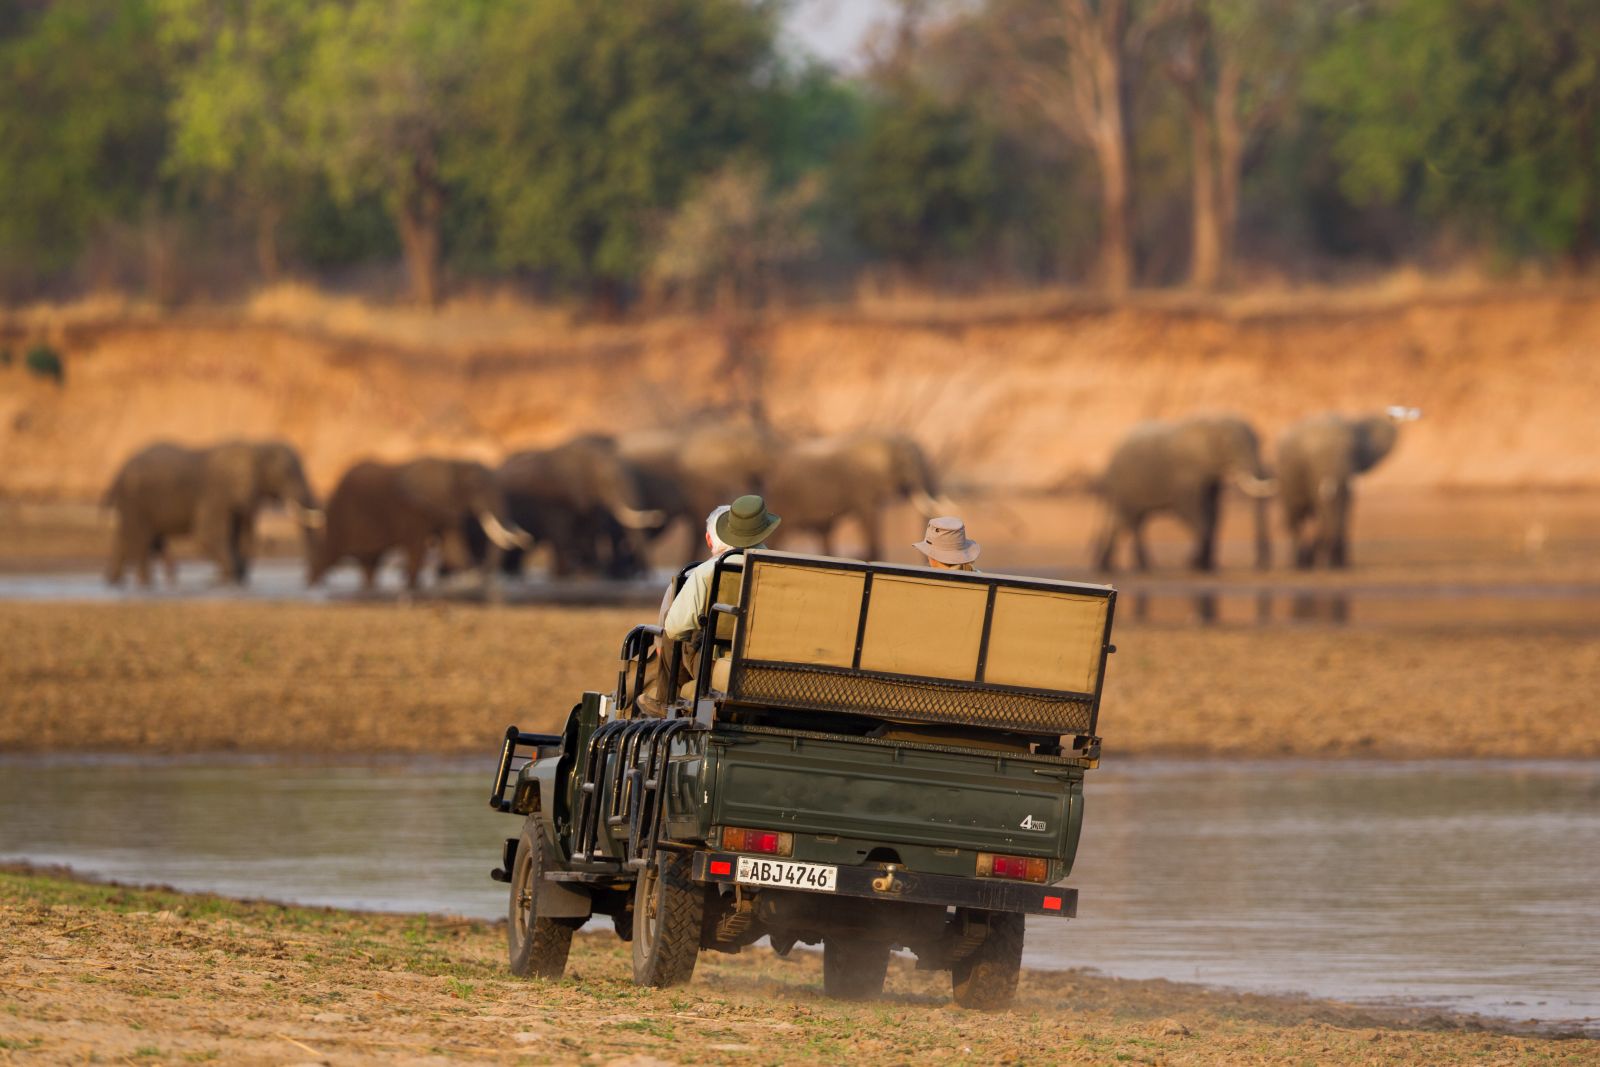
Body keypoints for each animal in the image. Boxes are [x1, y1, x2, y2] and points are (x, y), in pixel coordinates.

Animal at [103, 439, 322, 587]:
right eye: (287, 472)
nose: (305, 578)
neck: (256, 446)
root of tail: (117, 474)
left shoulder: (241, 497)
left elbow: (243, 535)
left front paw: (234, 578)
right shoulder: (218, 492)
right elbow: (207, 533)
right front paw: (230, 578)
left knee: (126, 539)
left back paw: (116, 583)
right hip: (134, 499)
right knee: (140, 540)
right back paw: (145, 584)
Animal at [309, 457, 530, 591]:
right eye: (475, 485)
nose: (525, 538)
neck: (452, 463)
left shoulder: (446, 509)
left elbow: (455, 552)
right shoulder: (414, 511)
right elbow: (416, 552)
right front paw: (412, 587)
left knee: (369, 566)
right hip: (339, 520)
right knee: (325, 557)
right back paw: (313, 585)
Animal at [764, 431, 952, 560]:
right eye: (907, 463)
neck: (886, 438)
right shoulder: (862, 484)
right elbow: (868, 516)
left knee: (824, 535)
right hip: (785, 499)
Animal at [1094, 414, 1274, 573]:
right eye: (1232, 446)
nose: (1261, 566)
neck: (1214, 421)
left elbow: (1214, 512)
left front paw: (1207, 566)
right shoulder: (1186, 473)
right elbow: (1191, 511)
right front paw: (1194, 563)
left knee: (1125, 521)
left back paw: (1111, 566)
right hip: (1125, 485)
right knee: (1132, 521)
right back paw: (1141, 566)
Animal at [1276, 408, 1418, 569]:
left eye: (1352, 450)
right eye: (1311, 456)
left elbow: (1342, 510)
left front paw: (1340, 565)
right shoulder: (1313, 473)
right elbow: (1328, 511)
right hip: (1286, 478)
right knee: (1296, 517)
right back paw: (1300, 564)